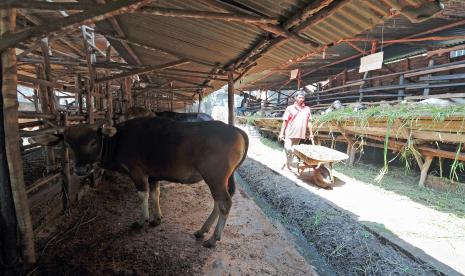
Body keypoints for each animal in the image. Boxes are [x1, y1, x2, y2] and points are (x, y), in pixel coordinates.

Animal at [34, 117, 248, 248]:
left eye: (93, 142)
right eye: (68, 145)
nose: (80, 170)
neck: (118, 140)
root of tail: (236, 129)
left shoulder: (138, 174)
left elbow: (142, 195)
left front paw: (141, 221)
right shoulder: (153, 177)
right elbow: (155, 195)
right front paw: (156, 218)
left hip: (215, 177)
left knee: (224, 203)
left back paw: (213, 239)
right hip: (219, 179)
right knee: (218, 203)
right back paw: (202, 230)